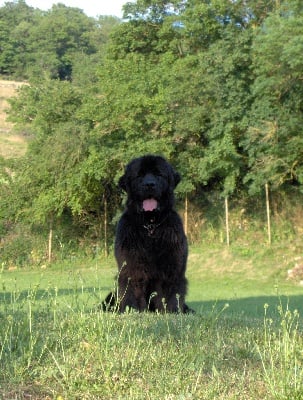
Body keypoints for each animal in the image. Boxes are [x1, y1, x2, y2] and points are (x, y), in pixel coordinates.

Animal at [103, 155, 191, 314]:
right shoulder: (132, 265)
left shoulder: (172, 266)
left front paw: (171, 311)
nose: (149, 184)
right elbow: (133, 289)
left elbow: (170, 294)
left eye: (158, 174)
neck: (150, 226)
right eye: (140, 175)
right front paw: (133, 310)